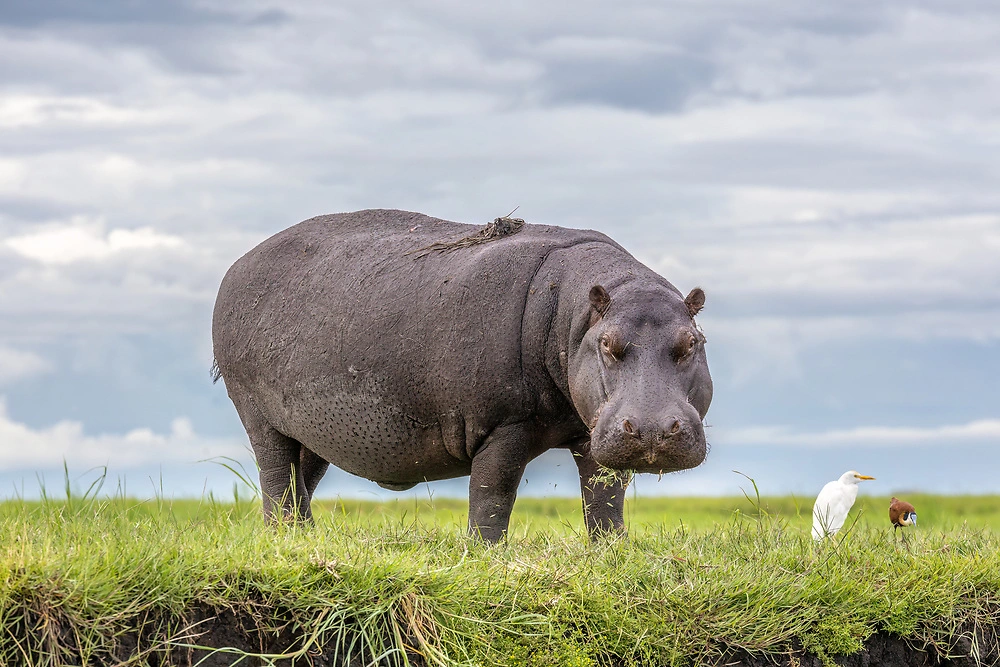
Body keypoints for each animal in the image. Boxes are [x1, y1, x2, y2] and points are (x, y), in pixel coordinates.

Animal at [213, 209, 712, 544]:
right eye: (608, 344)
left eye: (692, 342)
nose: (651, 429)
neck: (578, 316)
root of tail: (236, 265)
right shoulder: (504, 424)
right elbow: (493, 492)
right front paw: (485, 555)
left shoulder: (593, 431)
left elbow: (605, 497)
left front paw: (611, 552)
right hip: (258, 414)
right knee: (276, 474)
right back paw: (285, 536)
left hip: (313, 427)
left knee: (303, 477)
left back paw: (305, 539)